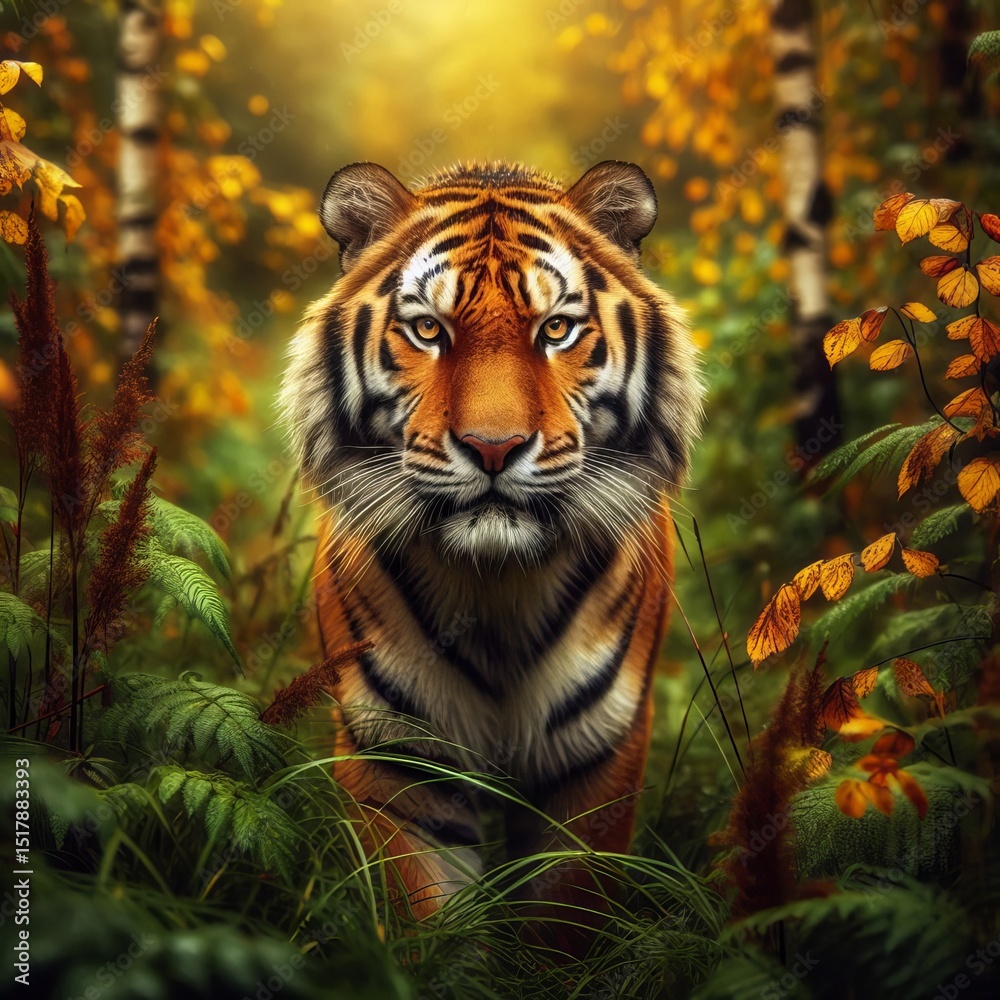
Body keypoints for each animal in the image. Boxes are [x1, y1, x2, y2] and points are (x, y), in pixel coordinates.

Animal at [280, 159, 703, 951]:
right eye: (428, 329)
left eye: (556, 329)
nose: (494, 447)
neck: (496, 588)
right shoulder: (397, 758)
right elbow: (424, 918)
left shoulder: (597, 754)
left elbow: (564, 921)